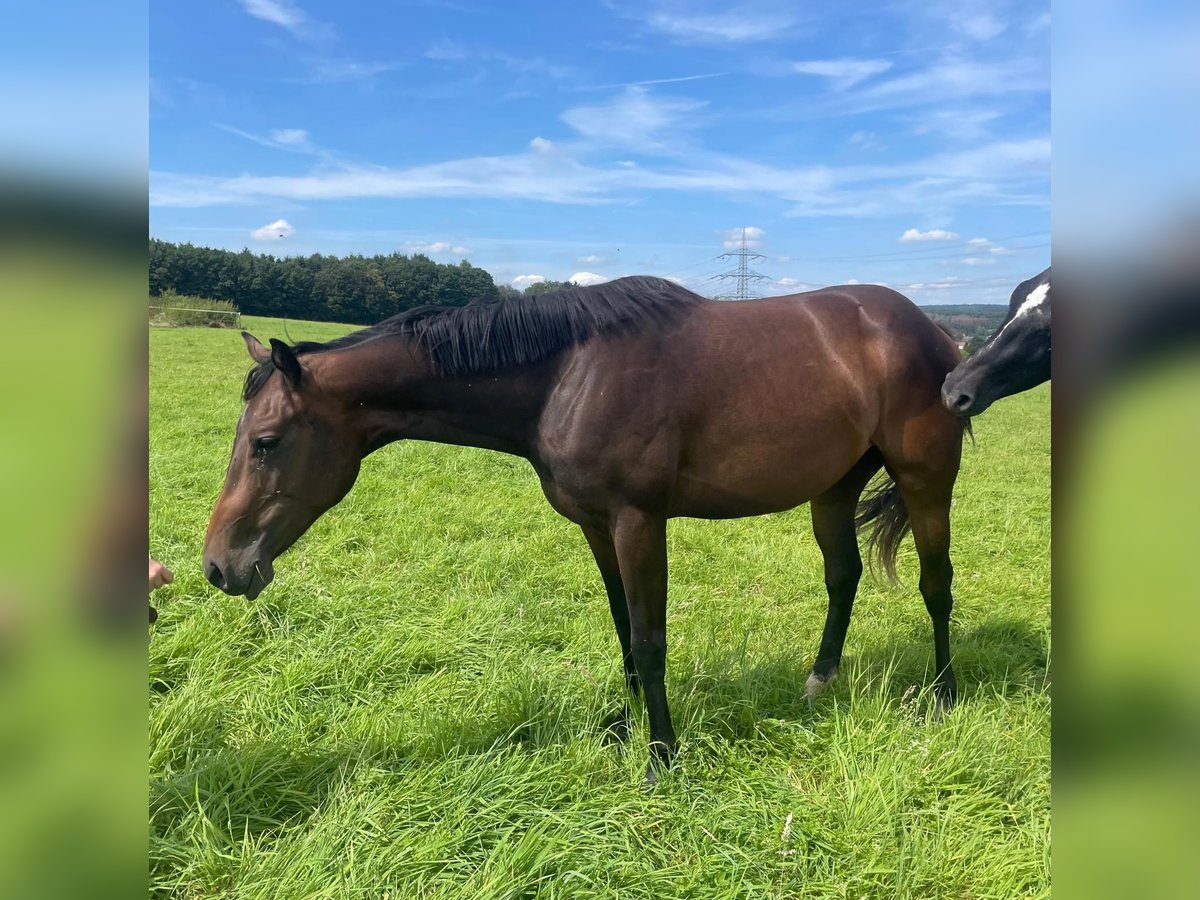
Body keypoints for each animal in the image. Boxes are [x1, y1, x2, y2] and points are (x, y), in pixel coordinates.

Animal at [204, 278, 964, 787]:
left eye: (266, 442)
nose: (219, 566)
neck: (568, 374)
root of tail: (935, 331)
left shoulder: (638, 522)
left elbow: (651, 641)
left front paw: (661, 758)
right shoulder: (597, 526)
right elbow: (623, 628)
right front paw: (623, 730)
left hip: (926, 481)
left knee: (937, 586)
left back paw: (944, 695)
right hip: (833, 488)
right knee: (843, 577)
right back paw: (820, 679)